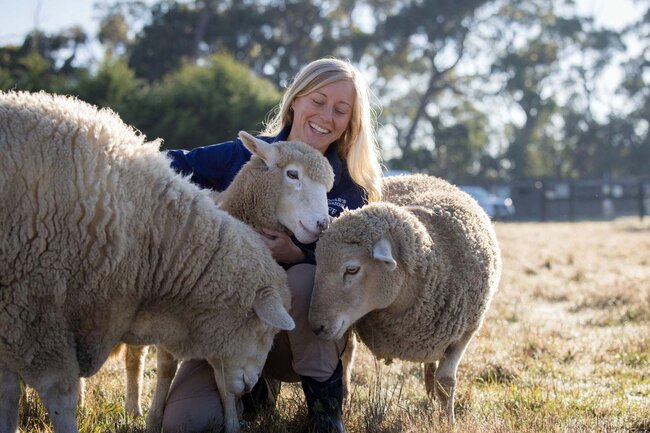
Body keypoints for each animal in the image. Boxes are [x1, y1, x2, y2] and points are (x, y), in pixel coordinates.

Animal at [308, 173, 502, 422]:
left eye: (352, 269)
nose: (316, 327)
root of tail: (415, 175)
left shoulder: (465, 333)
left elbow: (445, 382)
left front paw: (448, 421)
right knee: (348, 355)